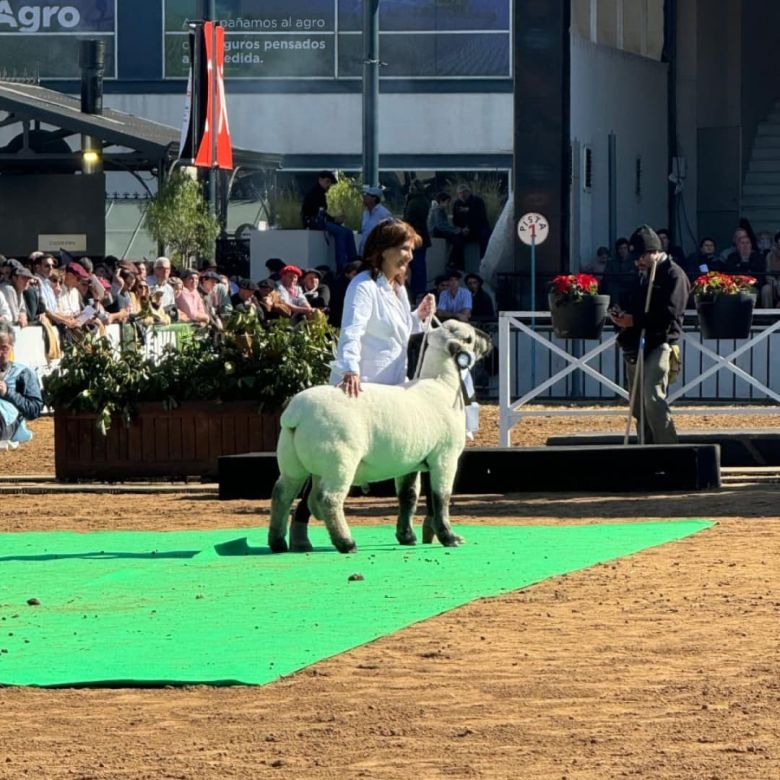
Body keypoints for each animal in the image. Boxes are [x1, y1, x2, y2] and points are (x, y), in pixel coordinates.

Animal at [266, 322, 490, 556]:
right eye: (469, 338)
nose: (489, 339)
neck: (441, 383)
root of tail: (296, 414)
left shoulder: (409, 462)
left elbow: (408, 496)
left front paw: (406, 536)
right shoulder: (445, 457)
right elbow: (441, 498)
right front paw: (449, 537)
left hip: (293, 464)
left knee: (282, 494)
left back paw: (278, 542)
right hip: (339, 461)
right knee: (328, 499)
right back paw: (346, 543)